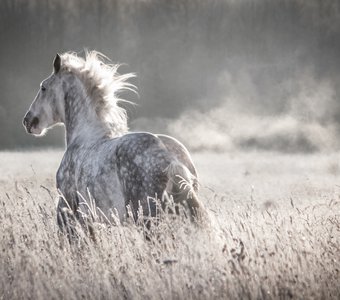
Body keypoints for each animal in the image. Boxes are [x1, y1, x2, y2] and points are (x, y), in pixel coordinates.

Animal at [23, 51, 206, 234]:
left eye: (43, 87)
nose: (28, 121)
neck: (84, 135)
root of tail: (169, 158)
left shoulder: (67, 212)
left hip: (147, 219)